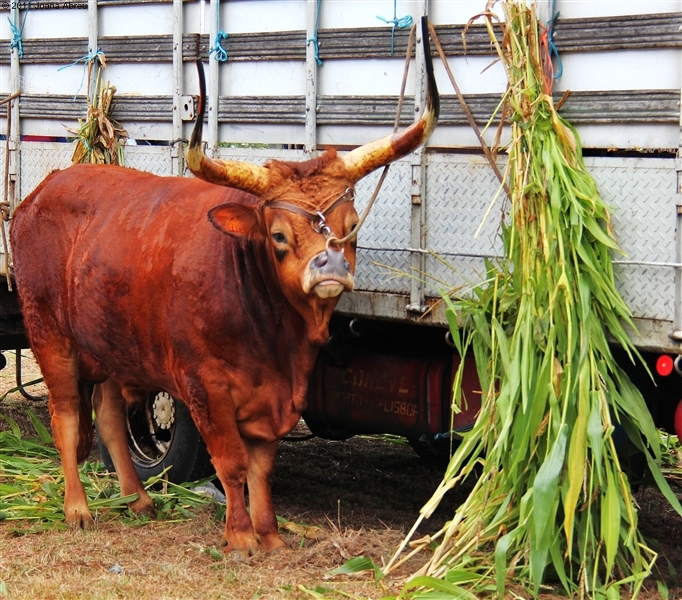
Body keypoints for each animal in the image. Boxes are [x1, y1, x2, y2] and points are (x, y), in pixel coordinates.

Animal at [10, 17, 438, 552]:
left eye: (352, 224)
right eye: (278, 234)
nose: (331, 266)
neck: (275, 341)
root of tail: (44, 189)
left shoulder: (277, 396)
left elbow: (262, 468)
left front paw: (269, 534)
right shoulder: (205, 387)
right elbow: (231, 463)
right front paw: (240, 536)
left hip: (110, 343)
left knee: (108, 417)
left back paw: (140, 501)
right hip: (51, 336)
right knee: (67, 417)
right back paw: (77, 509)